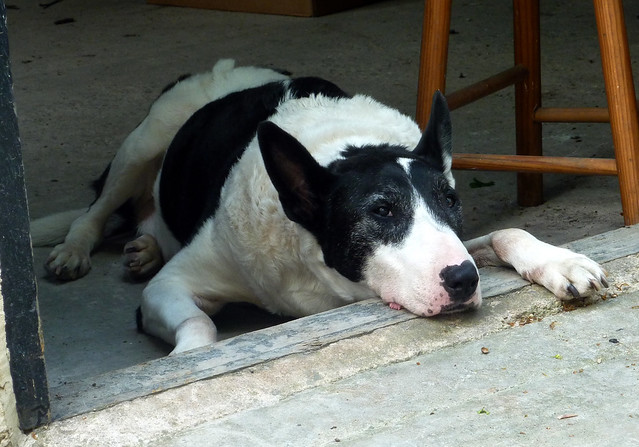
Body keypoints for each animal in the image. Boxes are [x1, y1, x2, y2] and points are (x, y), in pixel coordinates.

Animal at [31, 59, 608, 356]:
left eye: (450, 201)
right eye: (381, 211)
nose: (463, 281)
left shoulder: (457, 241)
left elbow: (507, 234)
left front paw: (564, 264)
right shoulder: (170, 287)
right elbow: (200, 327)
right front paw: (188, 358)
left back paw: (145, 247)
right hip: (146, 138)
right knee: (96, 208)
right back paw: (74, 251)